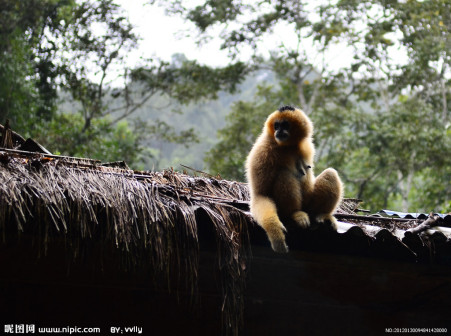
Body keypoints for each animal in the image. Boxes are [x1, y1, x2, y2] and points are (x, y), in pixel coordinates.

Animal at [247, 105, 342, 252]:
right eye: (276, 125)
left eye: (285, 125)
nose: (279, 131)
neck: (288, 146)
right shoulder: (262, 150)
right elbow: (261, 195)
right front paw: (275, 231)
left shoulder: (307, 146)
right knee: (284, 174)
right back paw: (295, 213)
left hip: (308, 205)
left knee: (330, 173)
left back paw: (322, 214)